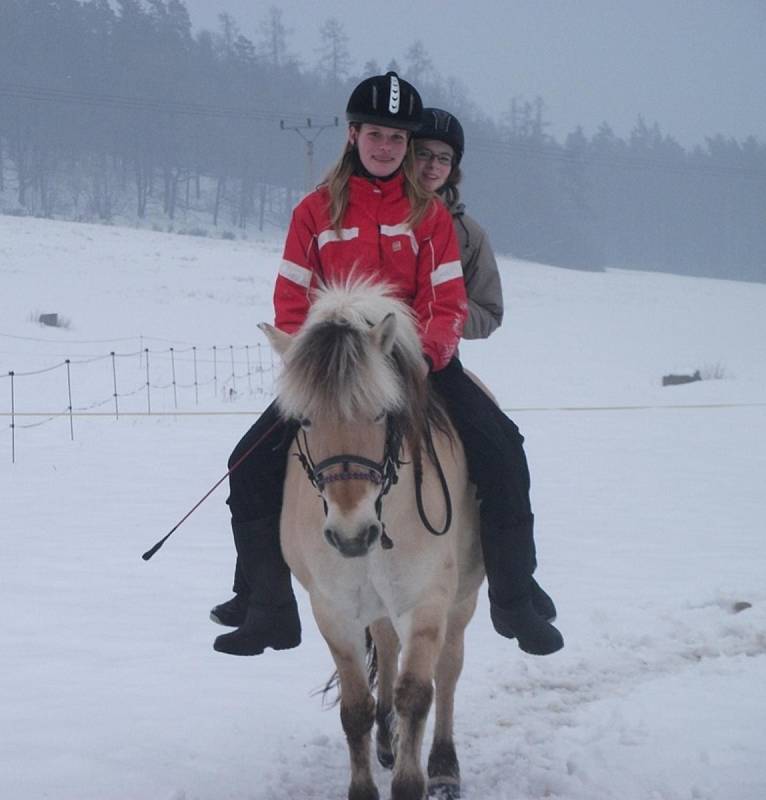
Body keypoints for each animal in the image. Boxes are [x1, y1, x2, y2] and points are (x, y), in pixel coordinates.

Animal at [260, 280, 484, 800]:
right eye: (304, 420)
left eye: (382, 412)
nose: (352, 535)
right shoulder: (334, 611)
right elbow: (355, 708)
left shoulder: (426, 603)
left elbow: (417, 694)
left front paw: (413, 779)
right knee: (384, 645)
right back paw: (386, 741)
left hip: (462, 599)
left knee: (449, 670)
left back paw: (443, 765)